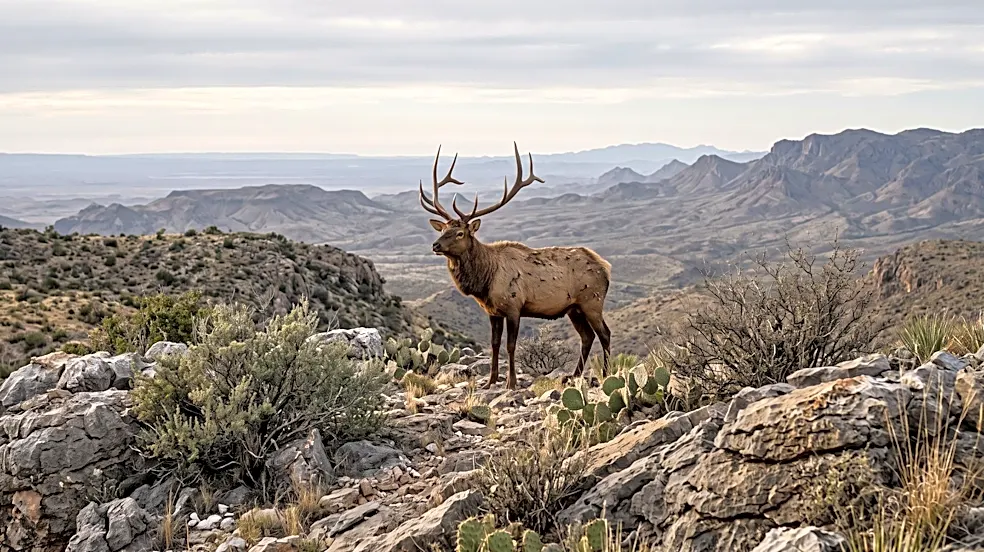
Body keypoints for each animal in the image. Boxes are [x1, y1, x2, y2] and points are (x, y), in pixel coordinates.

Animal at [419, 141, 612, 390]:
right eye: (443, 229)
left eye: (460, 233)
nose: (435, 245)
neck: (485, 281)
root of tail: (605, 267)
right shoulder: (493, 312)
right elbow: (494, 344)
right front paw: (490, 381)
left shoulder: (513, 306)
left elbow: (510, 345)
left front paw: (511, 382)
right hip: (574, 308)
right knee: (587, 337)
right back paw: (574, 375)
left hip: (592, 301)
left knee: (604, 334)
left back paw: (605, 374)